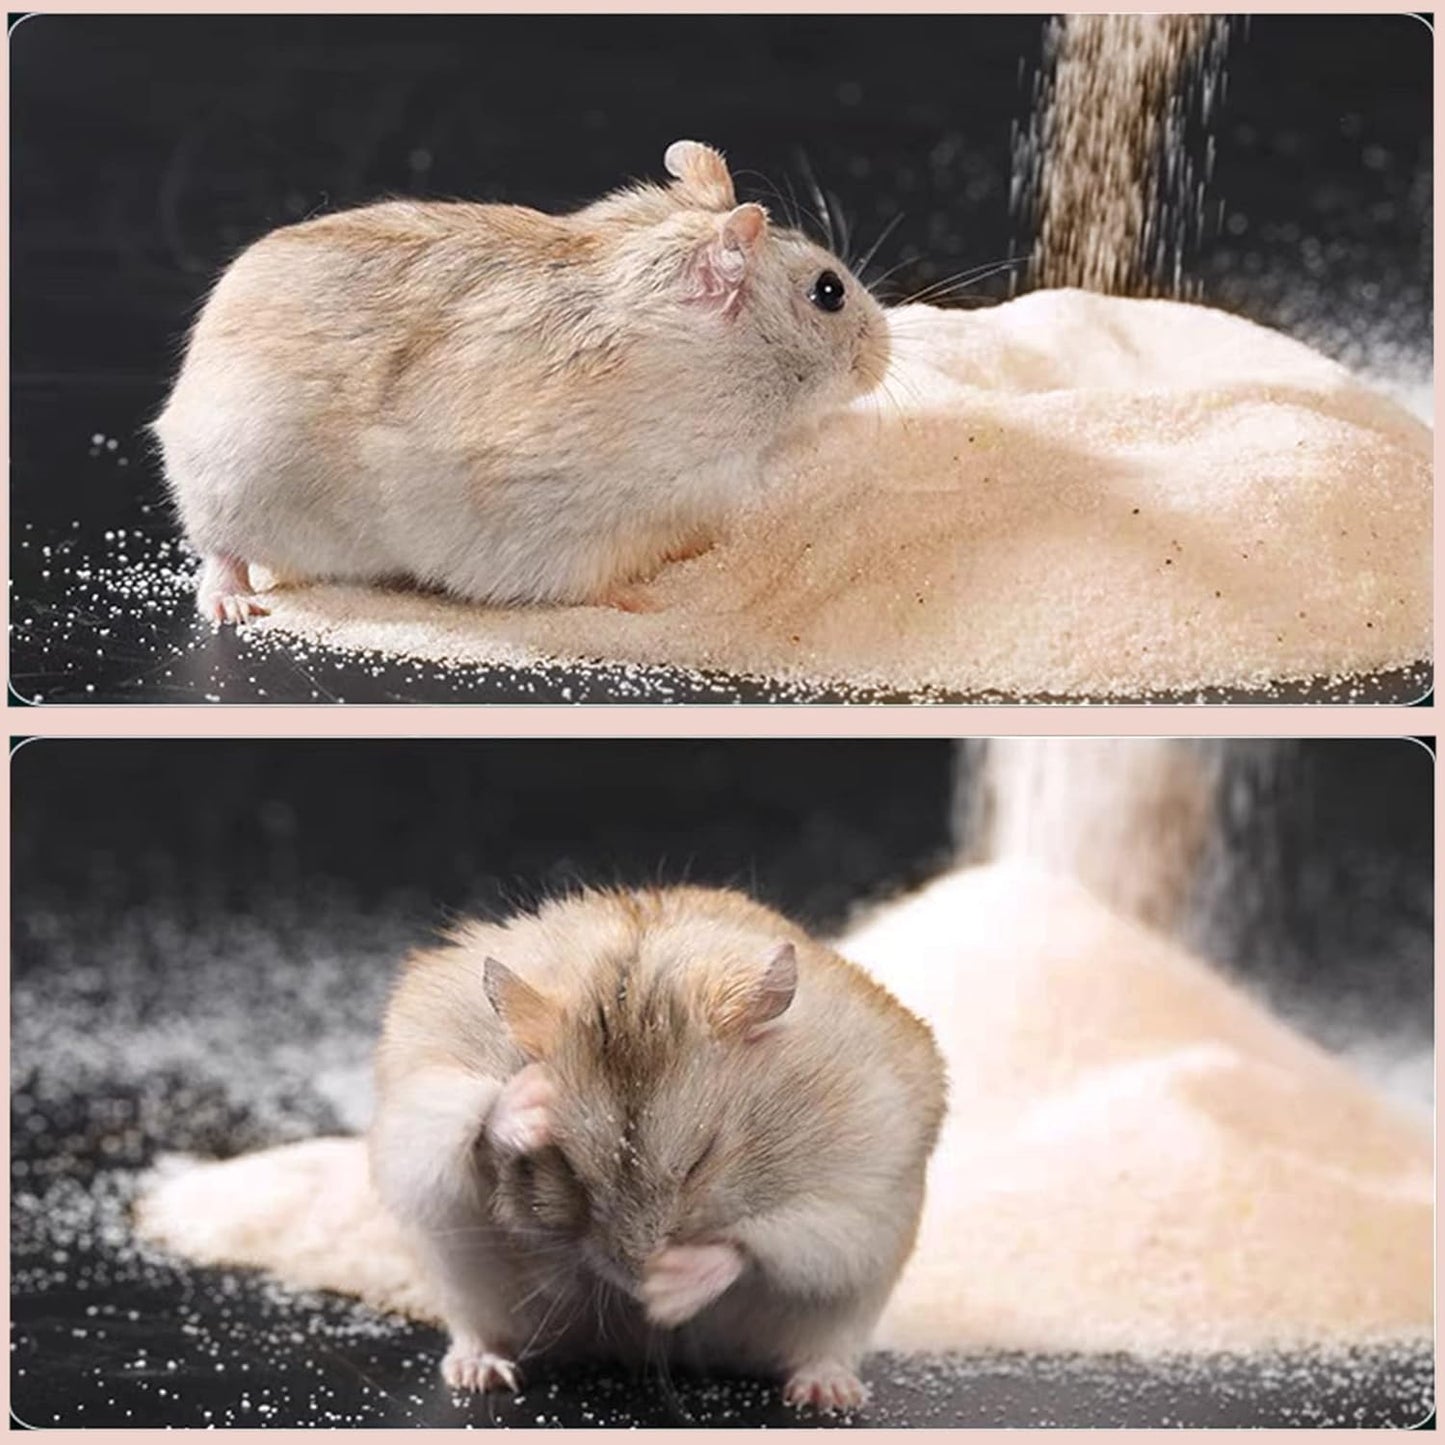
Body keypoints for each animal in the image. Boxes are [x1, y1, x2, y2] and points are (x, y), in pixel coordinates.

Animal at [152, 141, 892, 624]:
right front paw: (646, 600)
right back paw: (233, 604)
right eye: (829, 292)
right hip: (231, 483)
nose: (885, 350)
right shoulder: (553, 515)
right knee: (218, 551)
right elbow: (595, 579)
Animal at [368, 885, 945, 1413]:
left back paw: (827, 1393)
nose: (637, 1285)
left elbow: (752, 1245)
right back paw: (480, 1371)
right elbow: (463, 1118)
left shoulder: (854, 1188)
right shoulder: (415, 1108)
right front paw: (535, 1099)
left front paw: (667, 1291)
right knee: (478, 1334)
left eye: (701, 1160)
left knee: (825, 1346)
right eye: (570, 1171)